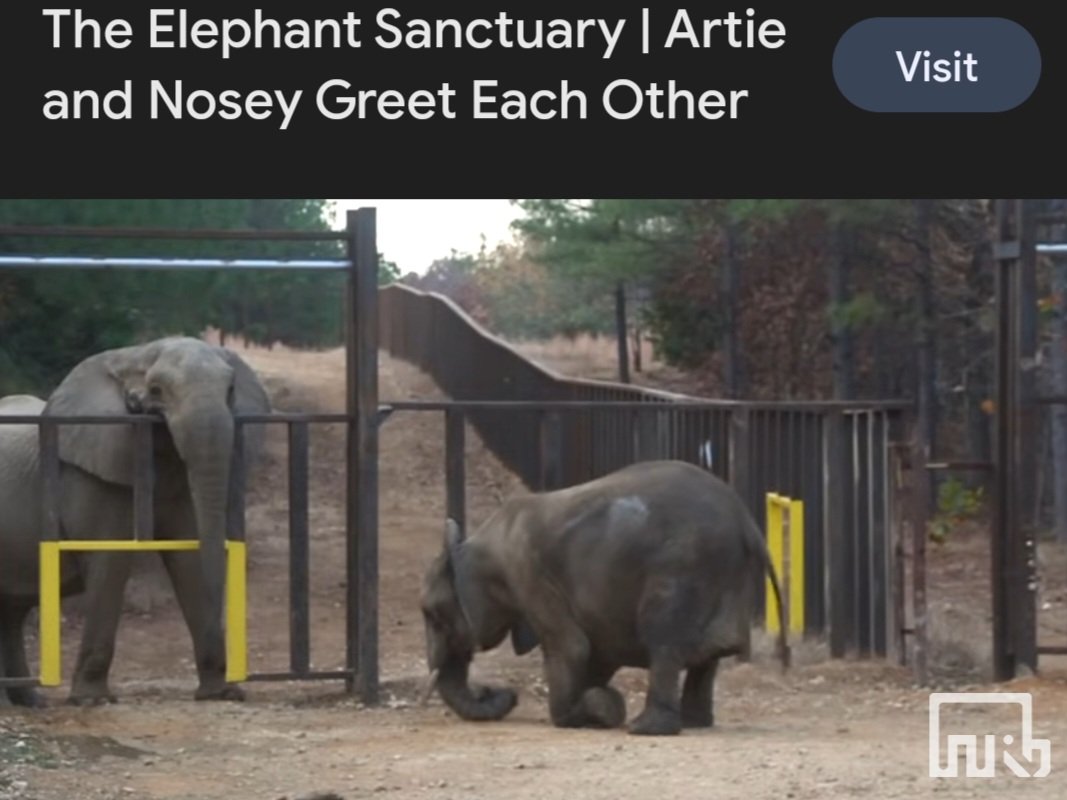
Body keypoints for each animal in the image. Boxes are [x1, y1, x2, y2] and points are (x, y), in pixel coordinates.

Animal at [0, 337, 270, 706]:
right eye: (156, 390)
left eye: (230, 390)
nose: (232, 682)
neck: (132, 354)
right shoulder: (93, 473)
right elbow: (111, 560)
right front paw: (92, 701)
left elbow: (189, 558)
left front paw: (219, 694)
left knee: (12, 611)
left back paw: (32, 702)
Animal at [420, 459, 788, 736]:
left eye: (433, 616)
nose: (499, 692)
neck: (472, 546)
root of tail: (747, 523)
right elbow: (597, 654)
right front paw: (600, 704)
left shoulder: (530, 577)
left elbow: (572, 648)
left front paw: (599, 709)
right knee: (706, 658)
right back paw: (694, 723)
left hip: (682, 568)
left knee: (663, 642)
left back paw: (645, 728)